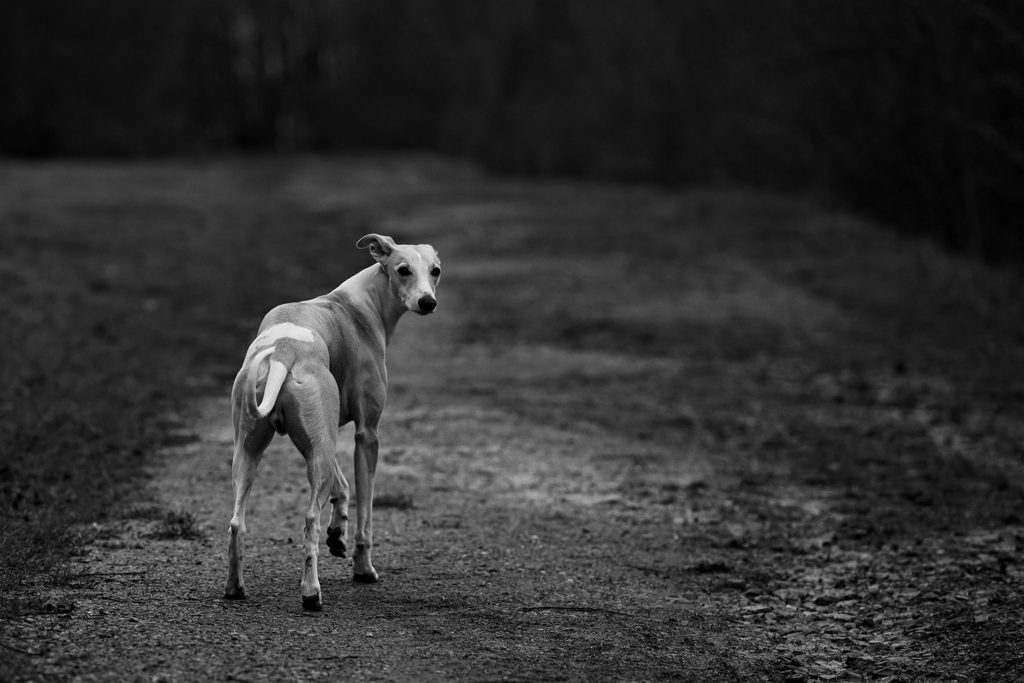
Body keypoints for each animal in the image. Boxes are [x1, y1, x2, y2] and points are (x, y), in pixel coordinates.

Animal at [224, 233, 440, 610]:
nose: (428, 302)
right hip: (313, 448)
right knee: (309, 518)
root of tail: (284, 352)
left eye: (436, 270)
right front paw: (363, 568)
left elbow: (344, 485)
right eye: (403, 270)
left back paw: (235, 587)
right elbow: (365, 511)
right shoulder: (367, 436)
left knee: (237, 522)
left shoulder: (322, 437)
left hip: (257, 450)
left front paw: (337, 533)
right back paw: (311, 592)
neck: (358, 304)